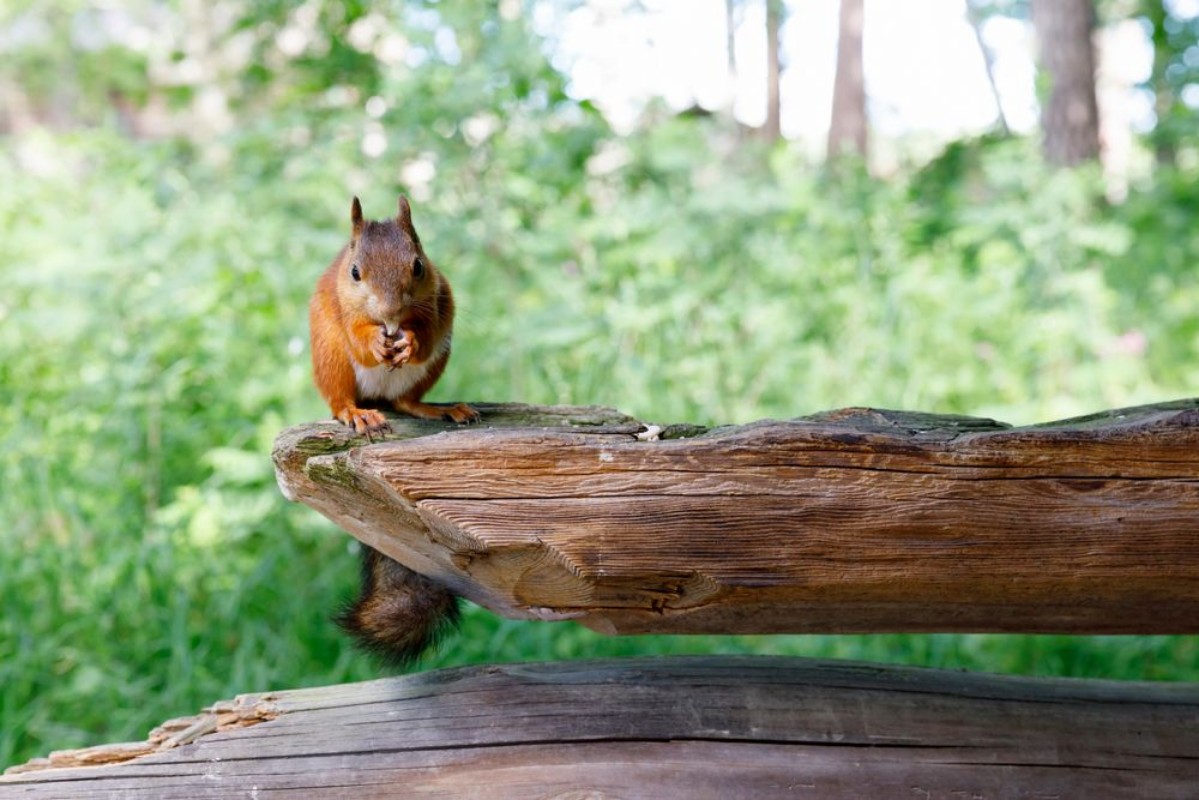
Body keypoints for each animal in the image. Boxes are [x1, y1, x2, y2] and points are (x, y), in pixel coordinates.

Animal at [309, 195, 477, 665]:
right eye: (354, 272)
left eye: (417, 266)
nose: (389, 314)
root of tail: (377, 398)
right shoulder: (345, 311)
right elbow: (360, 336)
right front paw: (375, 340)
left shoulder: (436, 299)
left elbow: (425, 330)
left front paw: (409, 340)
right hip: (330, 356)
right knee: (341, 397)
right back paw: (356, 414)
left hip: (438, 358)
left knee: (406, 400)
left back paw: (436, 408)